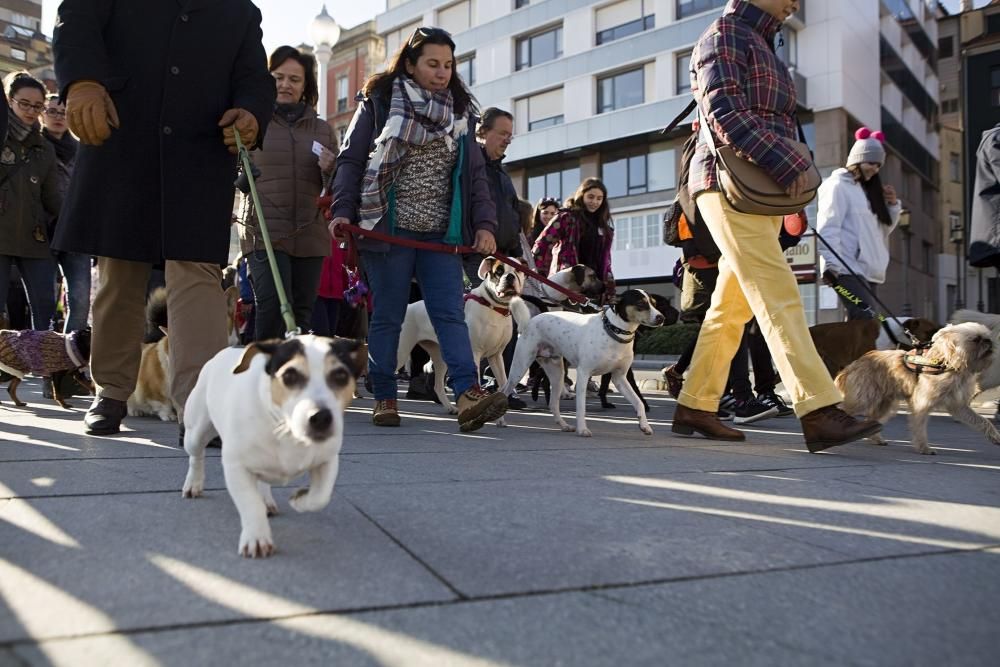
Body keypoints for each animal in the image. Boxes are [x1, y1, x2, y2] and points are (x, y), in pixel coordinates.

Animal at [182, 334, 366, 560]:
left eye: (340, 375)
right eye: (289, 375)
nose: (321, 417)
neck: (286, 430)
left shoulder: (328, 460)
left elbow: (320, 496)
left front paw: (300, 500)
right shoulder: (236, 467)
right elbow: (250, 503)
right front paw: (256, 537)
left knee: (263, 480)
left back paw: (266, 500)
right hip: (196, 430)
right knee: (196, 456)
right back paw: (193, 484)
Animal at [398, 256, 524, 422]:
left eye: (518, 270)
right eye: (499, 271)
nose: (509, 276)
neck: (493, 307)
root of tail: (408, 308)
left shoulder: (496, 356)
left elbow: (503, 383)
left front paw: (500, 418)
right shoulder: (475, 354)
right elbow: (476, 381)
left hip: (441, 358)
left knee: (438, 386)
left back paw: (450, 408)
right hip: (401, 352)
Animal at [504, 288, 660, 438]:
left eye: (654, 303)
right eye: (641, 303)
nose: (661, 317)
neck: (613, 332)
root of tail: (531, 321)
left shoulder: (619, 378)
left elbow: (639, 402)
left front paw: (644, 425)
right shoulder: (584, 374)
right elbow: (581, 408)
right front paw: (582, 429)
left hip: (556, 374)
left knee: (553, 404)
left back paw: (564, 425)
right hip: (519, 368)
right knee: (504, 391)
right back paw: (501, 420)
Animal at [836, 322, 1000, 456]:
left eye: (987, 337)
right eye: (976, 339)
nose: (989, 341)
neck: (950, 366)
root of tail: (854, 364)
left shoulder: (959, 406)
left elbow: (982, 420)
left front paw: (995, 436)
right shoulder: (922, 405)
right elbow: (920, 428)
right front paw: (924, 448)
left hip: (885, 403)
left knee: (872, 419)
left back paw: (875, 438)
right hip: (862, 400)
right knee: (843, 408)